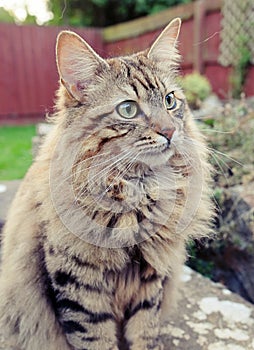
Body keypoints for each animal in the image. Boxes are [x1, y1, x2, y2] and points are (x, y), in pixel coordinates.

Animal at [0, 17, 212, 348]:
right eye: (128, 109)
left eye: (169, 100)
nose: (169, 131)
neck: (137, 192)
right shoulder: (79, 287)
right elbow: (95, 338)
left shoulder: (151, 280)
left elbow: (145, 331)